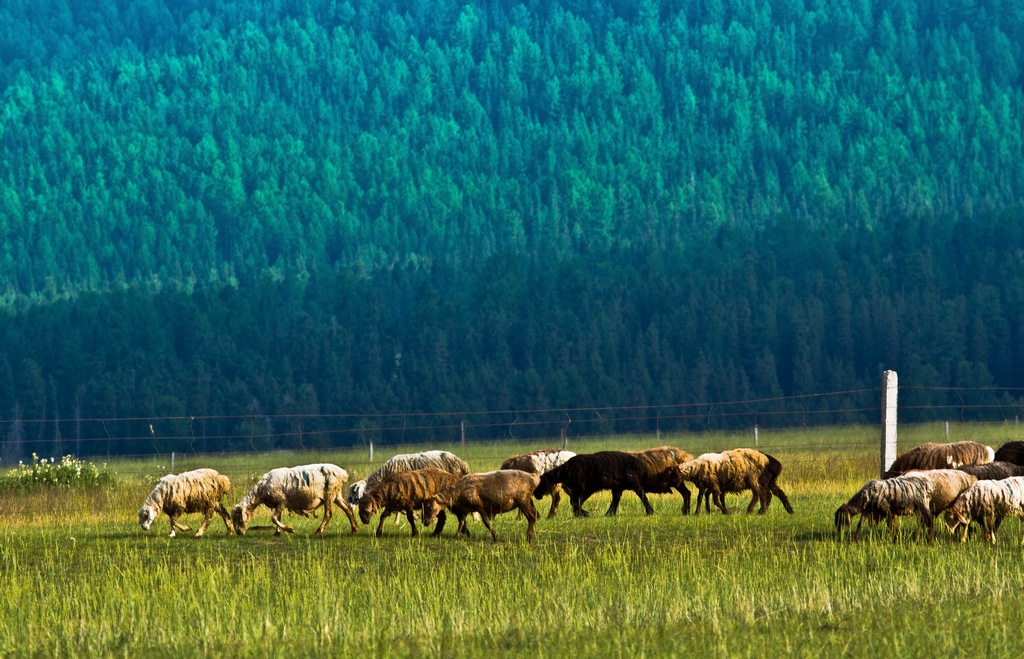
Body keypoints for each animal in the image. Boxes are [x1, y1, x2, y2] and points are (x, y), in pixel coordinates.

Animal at [232, 462, 360, 536]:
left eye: (238, 517)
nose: (238, 532)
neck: (261, 490)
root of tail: (342, 473)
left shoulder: (282, 501)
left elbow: (274, 518)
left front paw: (289, 529)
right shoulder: (277, 504)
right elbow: (277, 517)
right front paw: (277, 533)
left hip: (329, 493)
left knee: (328, 514)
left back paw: (318, 532)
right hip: (336, 494)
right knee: (347, 509)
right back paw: (354, 529)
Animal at [659, 448, 794, 515]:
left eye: (670, 474)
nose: (662, 486)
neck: (696, 467)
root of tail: (769, 460)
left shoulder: (714, 484)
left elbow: (715, 500)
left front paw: (726, 511)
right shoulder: (705, 484)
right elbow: (700, 498)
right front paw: (698, 512)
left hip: (754, 478)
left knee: (759, 493)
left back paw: (753, 510)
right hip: (768, 481)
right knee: (776, 493)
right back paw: (788, 510)